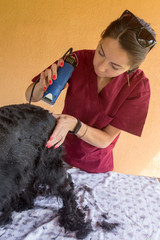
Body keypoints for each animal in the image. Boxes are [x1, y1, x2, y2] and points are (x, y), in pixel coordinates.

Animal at [0, 104, 92, 239]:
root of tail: (50, 114)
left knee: (67, 188)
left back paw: (73, 221)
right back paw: (24, 202)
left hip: (49, 165)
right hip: (32, 163)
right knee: (31, 182)